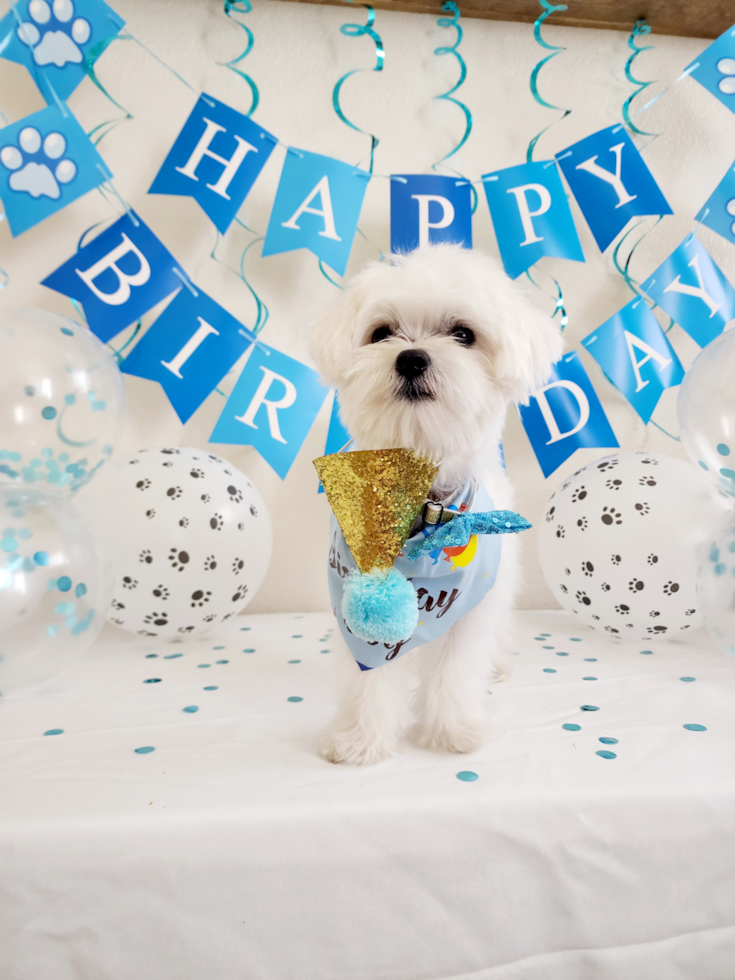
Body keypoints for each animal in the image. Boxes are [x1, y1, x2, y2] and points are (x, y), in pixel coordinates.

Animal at [310, 245, 564, 764]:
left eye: (463, 334)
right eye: (381, 333)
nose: (411, 358)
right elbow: (368, 677)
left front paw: (452, 732)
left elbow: (456, 671)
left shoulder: (470, 610)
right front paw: (359, 739)